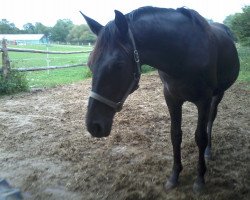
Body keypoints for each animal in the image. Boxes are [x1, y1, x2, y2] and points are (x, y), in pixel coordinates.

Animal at [81, 6, 239, 192]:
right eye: (90, 64)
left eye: (118, 65)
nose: (93, 126)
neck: (183, 53)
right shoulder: (171, 98)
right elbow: (175, 135)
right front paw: (174, 176)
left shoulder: (204, 100)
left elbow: (200, 137)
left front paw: (200, 180)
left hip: (217, 95)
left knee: (210, 121)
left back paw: (208, 151)